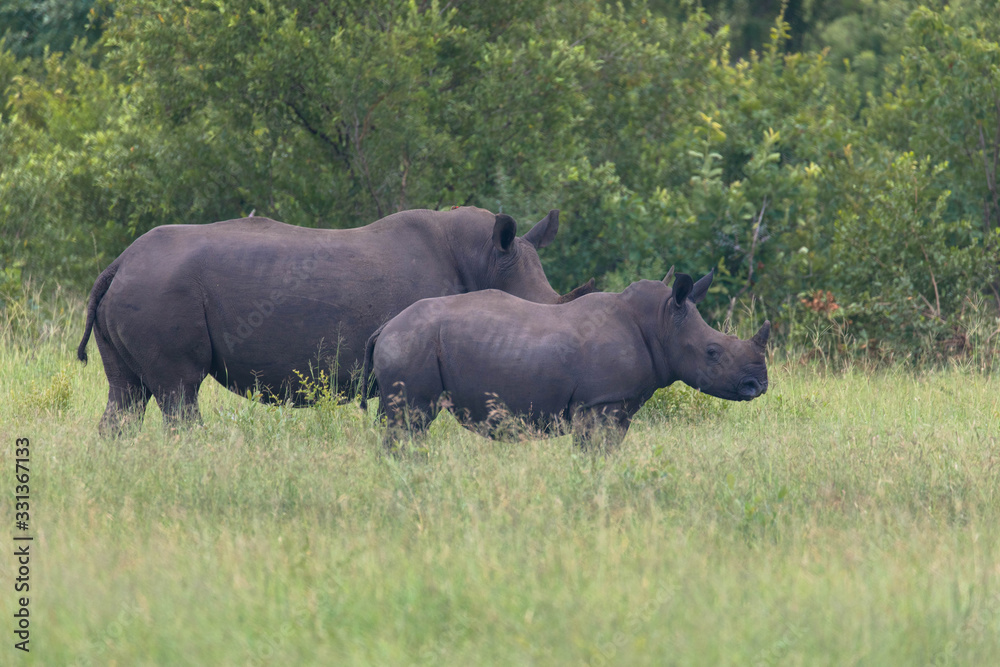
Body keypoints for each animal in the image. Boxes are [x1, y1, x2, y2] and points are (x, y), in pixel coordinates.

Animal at [77, 207, 591, 435]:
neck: (486, 259)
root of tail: (120, 263)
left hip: (138, 288)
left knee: (125, 393)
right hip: (160, 289)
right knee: (178, 390)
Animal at [362, 269, 770, 446]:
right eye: (713, 352)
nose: (759, 385)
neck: (660, 323)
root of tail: (385, 328)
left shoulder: (617, 403)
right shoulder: (600, 403)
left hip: (410, 340)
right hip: (412, 341)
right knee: (411, 419)